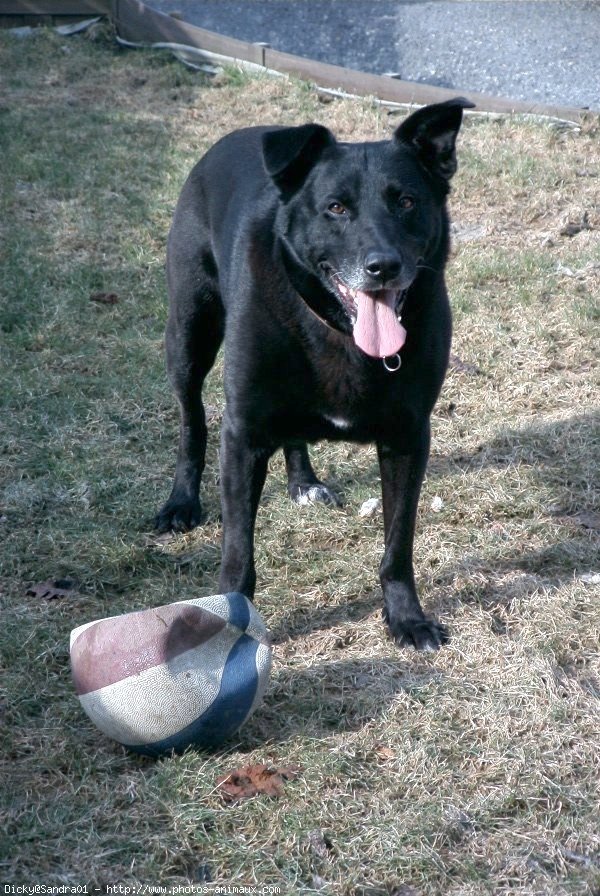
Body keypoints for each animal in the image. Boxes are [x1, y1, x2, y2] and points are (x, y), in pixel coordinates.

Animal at [156, 100, 474, 652]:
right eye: (337, 208)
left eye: (407, 201)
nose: (383, 266)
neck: (339, 330)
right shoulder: (242, 435)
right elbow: (237, 554)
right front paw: (233, 628)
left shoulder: (409, 437)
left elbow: (398, 543)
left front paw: (406, 618)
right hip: (189, 335)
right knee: (191, 418)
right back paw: (182, 502)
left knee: (293, 433)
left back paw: (304, 482)